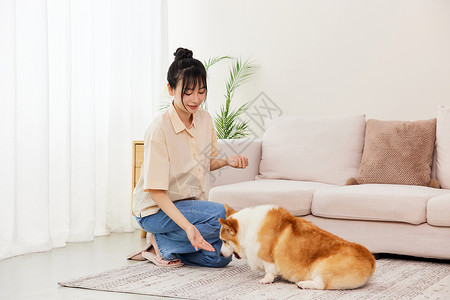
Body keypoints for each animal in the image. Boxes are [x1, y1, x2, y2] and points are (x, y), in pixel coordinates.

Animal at [219, 205, 376, 290]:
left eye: (224, 241)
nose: (220, 254)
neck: (246, 228)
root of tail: (371, 261)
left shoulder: (267, 258)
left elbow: (270, 270)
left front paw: (266, 279)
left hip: (321, 267)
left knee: (322, 285)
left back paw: (304, 284)